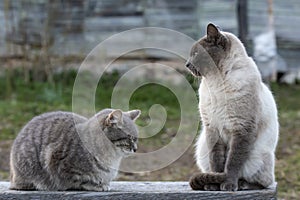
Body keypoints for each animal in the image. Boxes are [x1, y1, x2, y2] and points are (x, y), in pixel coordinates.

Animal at [9, 108, 141, 191]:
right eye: (129, 138)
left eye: (136, 139)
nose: (135, 149)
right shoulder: (59, 164)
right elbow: (79, 181)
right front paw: (96, 185)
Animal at [185, 23, 278, 191]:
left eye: (195, 54)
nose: (187, 64)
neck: (216, 82)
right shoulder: (212, 128)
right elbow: (216, 161)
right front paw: (213, 185)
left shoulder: (241, 128)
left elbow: (233, 162)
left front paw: (227, 185)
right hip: (202, 149)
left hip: (258, 156)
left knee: (264, 182)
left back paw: (242, 184)